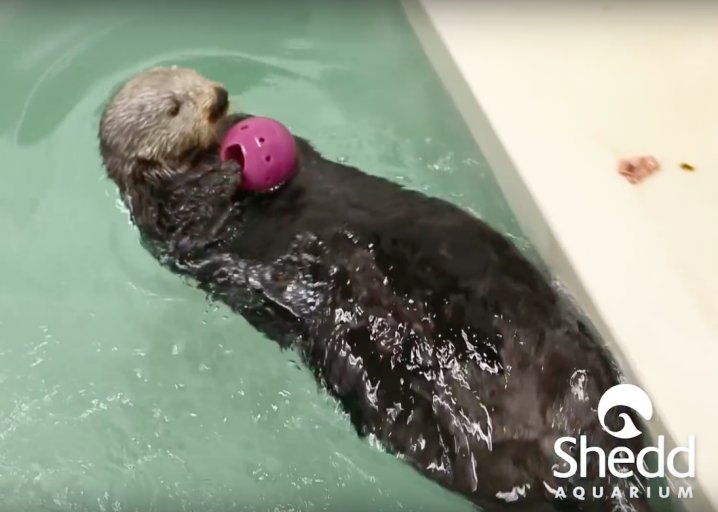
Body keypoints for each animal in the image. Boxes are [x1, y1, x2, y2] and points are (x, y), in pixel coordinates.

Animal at [98, 67, 654, 512]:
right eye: (173, 107)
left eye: (192, 77)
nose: (217, 96)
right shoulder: (166, 220)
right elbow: (199, 210)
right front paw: (232, 166)